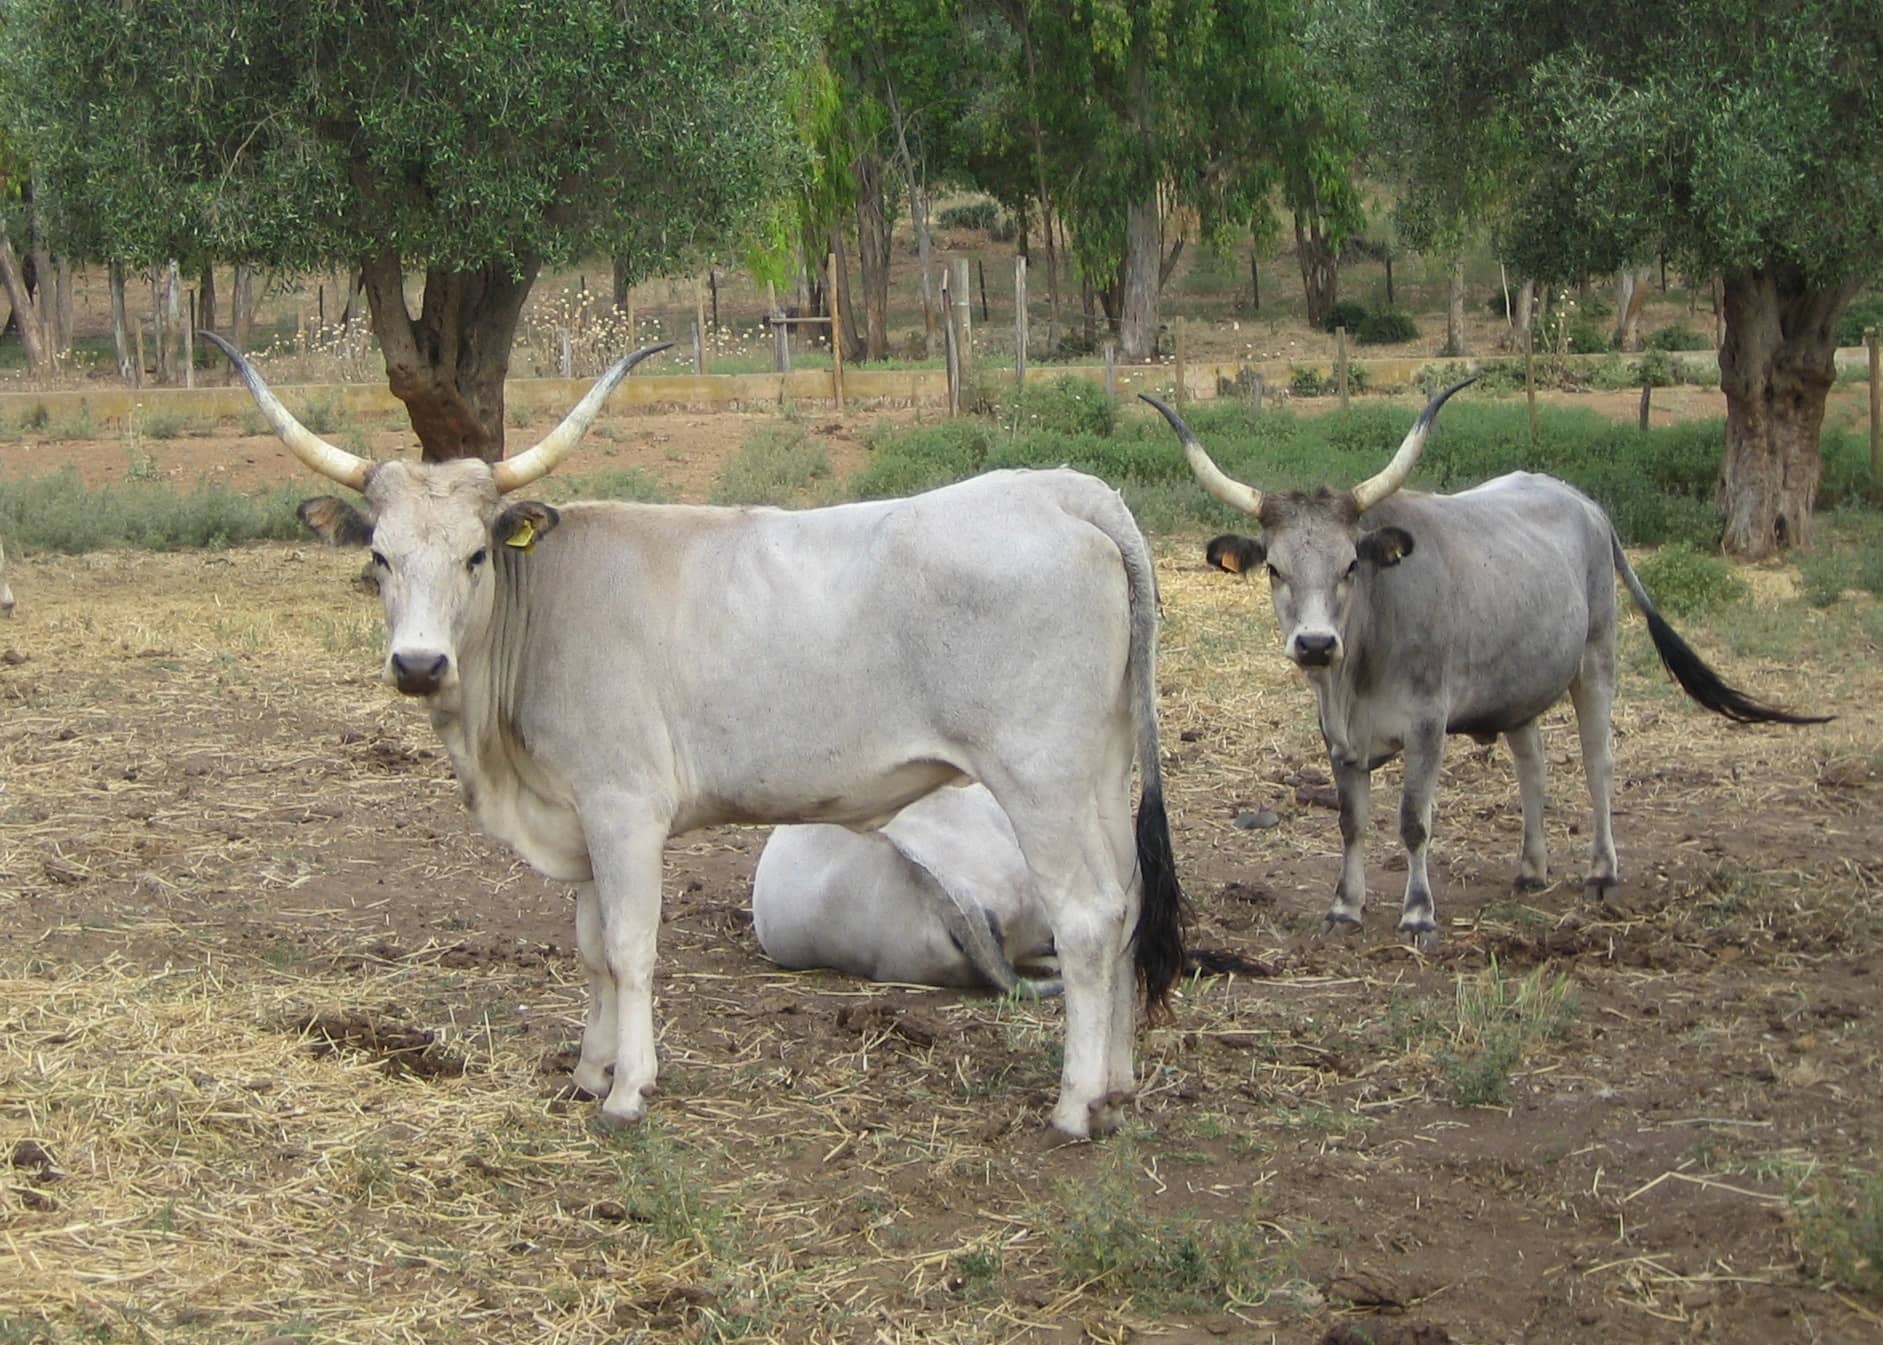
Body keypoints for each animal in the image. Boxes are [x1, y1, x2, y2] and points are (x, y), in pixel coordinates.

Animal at [1143, 382, 1824, 948]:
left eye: (1351, 566)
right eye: (1276, 570)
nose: (1314, 645)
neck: (1357, 668)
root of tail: (1583, 501)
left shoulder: (1427, 725)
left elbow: (1413, 822)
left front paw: (1418, 914)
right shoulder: (1338, 738)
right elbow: (1351, 822)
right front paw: (1345, 908)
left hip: (1597, 657)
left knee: (1599, 765)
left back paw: (1601, 873)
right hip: (1522, 685)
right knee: (1534, 768)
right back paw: (1531, 868)